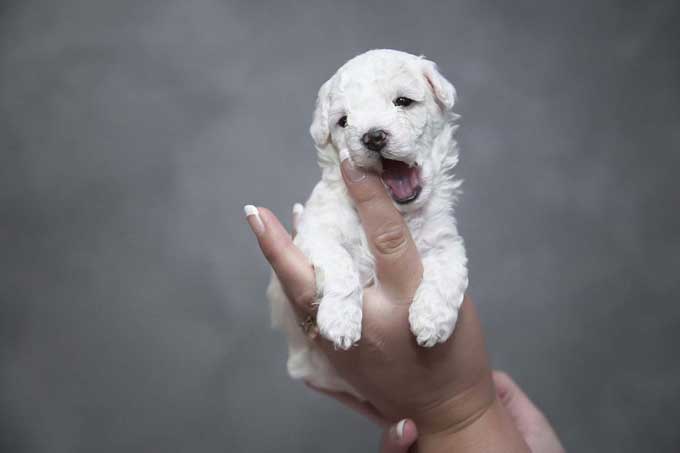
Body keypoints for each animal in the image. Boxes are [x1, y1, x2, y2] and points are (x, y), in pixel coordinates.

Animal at [266, 47, 468, 398]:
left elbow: (448, 270)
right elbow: (341, 265)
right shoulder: (315, 233)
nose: (373, 137)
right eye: (343, 121)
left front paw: (432, 321)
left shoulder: (445, 241)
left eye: (403, 101)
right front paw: (340, 320)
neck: (398, 213)